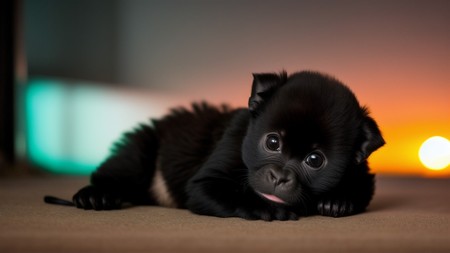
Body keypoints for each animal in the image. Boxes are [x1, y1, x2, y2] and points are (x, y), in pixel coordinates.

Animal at [68, 70, 384, 219]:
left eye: (315, 160)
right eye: (272, 142)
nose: (280, 177)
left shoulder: (361, 171)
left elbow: (360, 189)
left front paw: (337, 201)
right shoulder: (209, 178)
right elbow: (234, 196)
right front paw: (265, 209)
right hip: (139, 150)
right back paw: (96, 196)